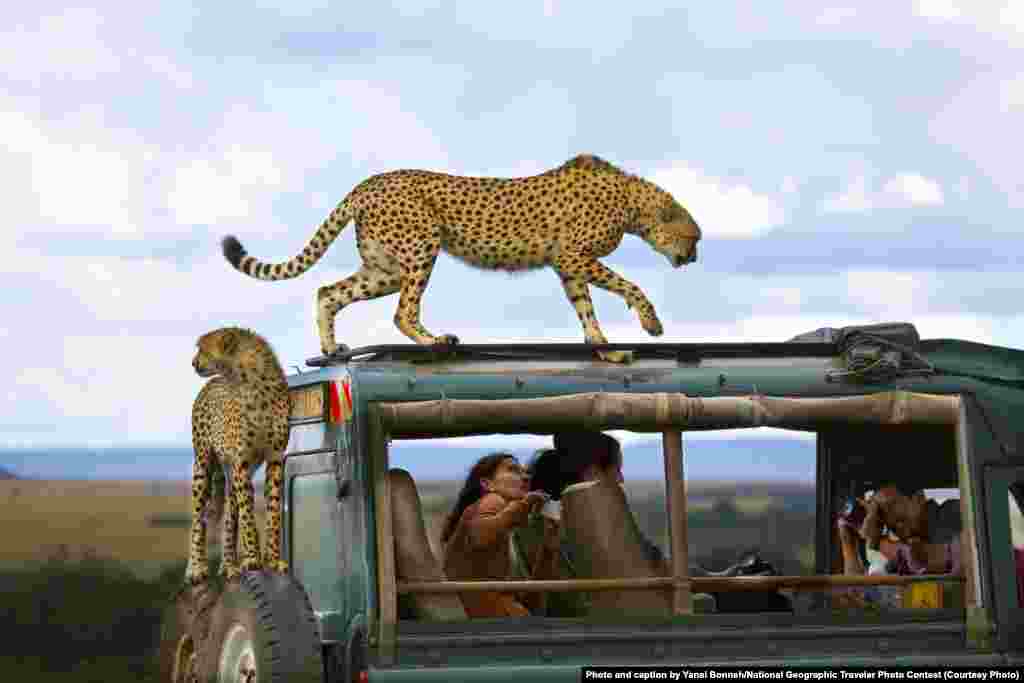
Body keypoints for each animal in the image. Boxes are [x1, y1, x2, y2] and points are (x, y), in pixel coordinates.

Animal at [187, 327, 290, 585]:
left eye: (202, 349)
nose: (193, 362)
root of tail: (210, 384)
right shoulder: (241, 461)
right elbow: (248, 516)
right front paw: (253, 558)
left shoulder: (274, 458)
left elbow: (273, 511)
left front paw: (273, 560)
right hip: (203, 464)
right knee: (198, 518)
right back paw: (197, 568)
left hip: (231, 470)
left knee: (228, 515)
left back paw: (228, 565)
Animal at [222, 154, 704, 362]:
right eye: (694, 237)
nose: (695, 258)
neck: (632, 202)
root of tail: (370, 181)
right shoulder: (573, 255)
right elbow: (629, 285)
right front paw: (650, 323)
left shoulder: (566, 264)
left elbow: (584, 306)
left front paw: (604, 348)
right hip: (421, 247)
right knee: (402, 311)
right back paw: (434, 341)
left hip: (385, 268)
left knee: (328, 291)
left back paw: (330, 347)